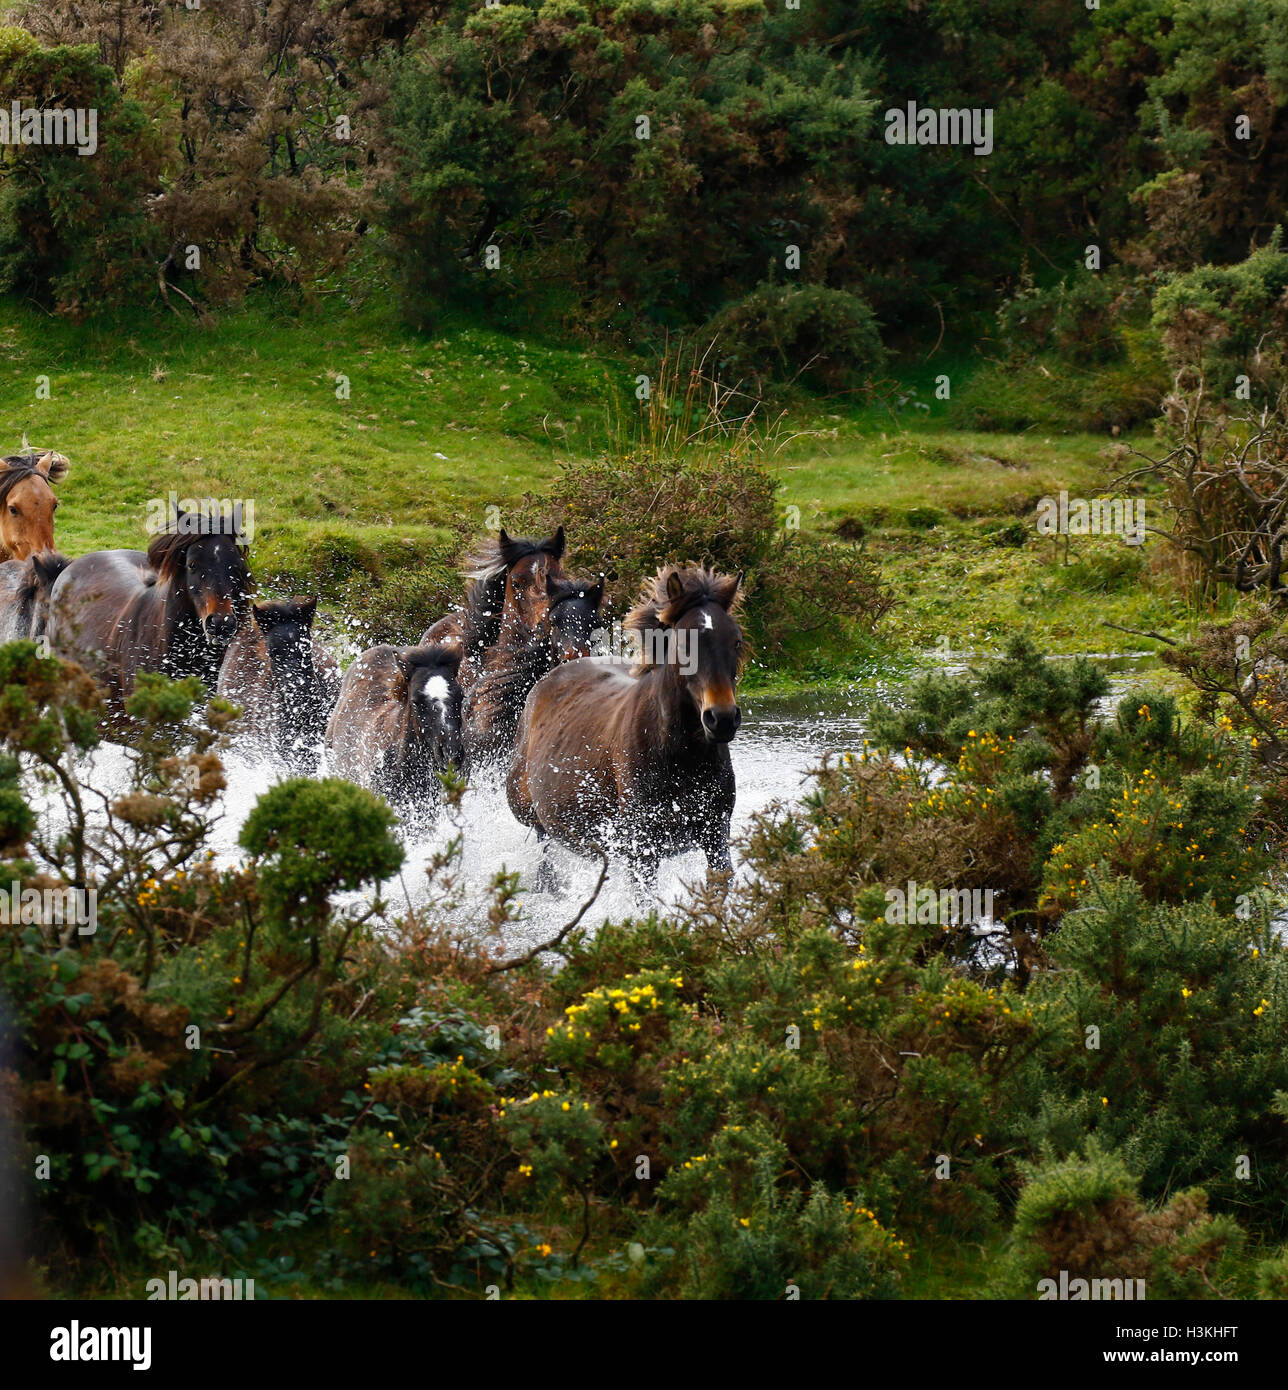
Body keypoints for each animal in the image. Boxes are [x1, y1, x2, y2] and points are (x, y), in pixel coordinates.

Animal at [507, 565, 745, 893]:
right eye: (684, 645)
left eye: (736, 641)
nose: (721, 718)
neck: (679, 754)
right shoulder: (643, 851)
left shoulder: (716, 837)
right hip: (530, 813)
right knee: (545, 844)